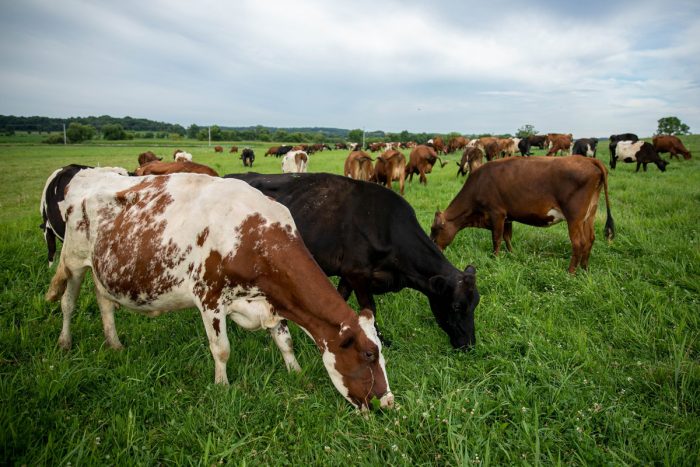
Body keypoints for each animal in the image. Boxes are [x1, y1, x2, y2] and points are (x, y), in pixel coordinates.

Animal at [430, 157, 616, 274]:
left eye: (434, 229)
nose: (434, 249)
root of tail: (588, 159)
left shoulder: (497, 213)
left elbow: (496, 238)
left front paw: (495, 259)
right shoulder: (508, 216)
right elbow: (507, 237)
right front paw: (512, 254)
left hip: (574, 217)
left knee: (578, 243)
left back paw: (570, 272)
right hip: (589, 214)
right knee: (590, 239)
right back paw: (584, 269)